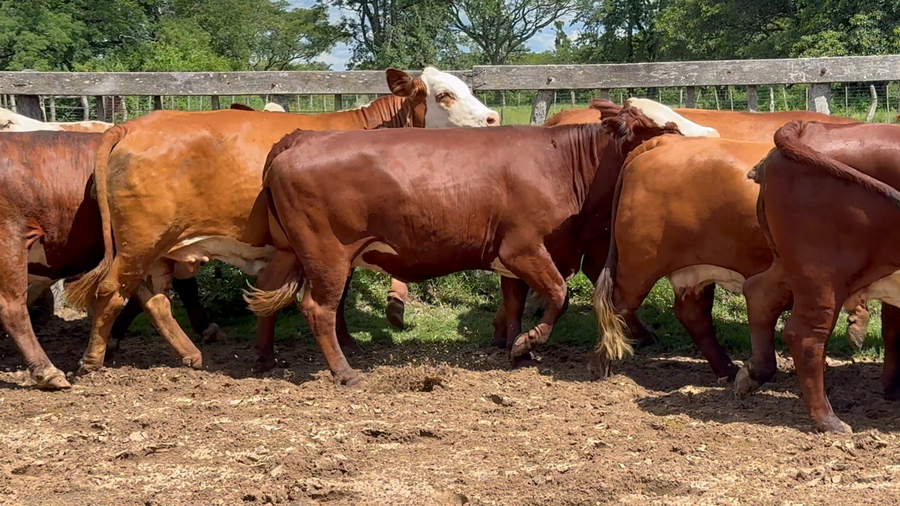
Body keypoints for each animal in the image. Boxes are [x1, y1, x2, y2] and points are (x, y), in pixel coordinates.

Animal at [64, 67, 500, 378]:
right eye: (444, 94)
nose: (494, 119)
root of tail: (131, 126)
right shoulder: (333, 244)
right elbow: (334, 297)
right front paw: (347, 346)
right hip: (141, 241)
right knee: (113, 291)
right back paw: (93, 359)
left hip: (158, 248)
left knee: (151, 299)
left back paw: (187, 352)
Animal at [242, 107, 680, 384]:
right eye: (650, 130)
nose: (680, 138)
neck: (563, 164)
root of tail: (301, 138)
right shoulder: (524, 248)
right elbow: (558, 294)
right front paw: (528, 342)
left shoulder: (511, 259)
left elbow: (514, 303)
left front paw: (515, 347)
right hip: (327, 255)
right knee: (318, 309)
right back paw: (345, 372)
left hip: (291, 250)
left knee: (266, 292)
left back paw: (264, 360)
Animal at [738, 121, 900, 433]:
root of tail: (810, 128)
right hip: (822, 276)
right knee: (805, 335)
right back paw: (829, 421)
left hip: (792, 266)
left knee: (759, 293)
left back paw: (752, 374)